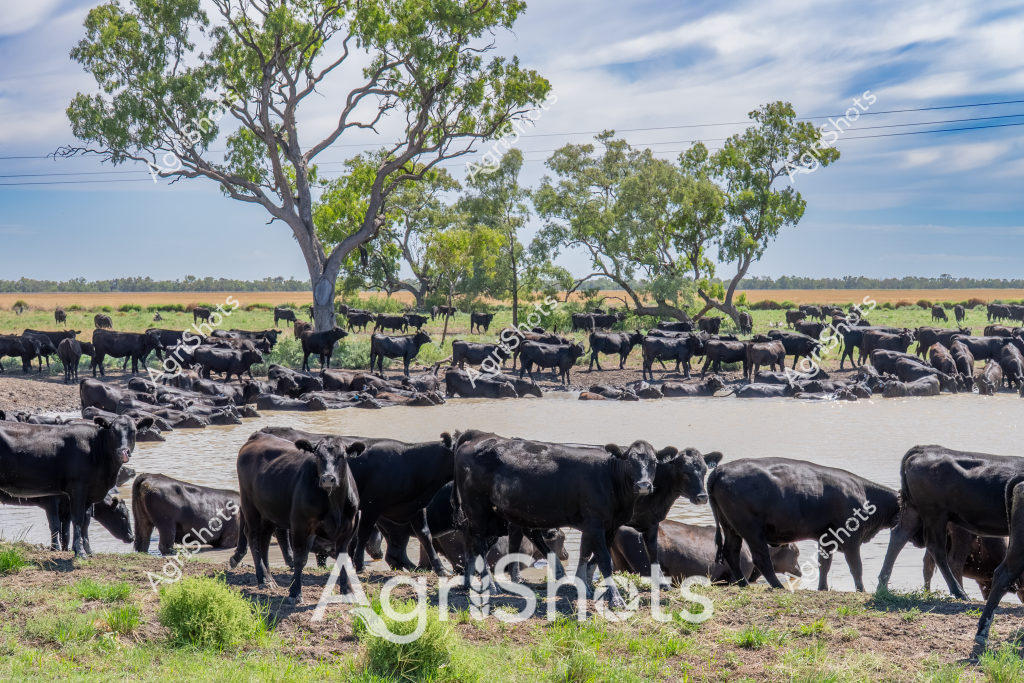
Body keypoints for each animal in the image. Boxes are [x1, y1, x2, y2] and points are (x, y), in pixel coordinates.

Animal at [0, 416, 150, 556]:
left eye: (133, 431)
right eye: (113, 431)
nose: (131, 537)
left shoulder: (85, 498)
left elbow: (80, 525)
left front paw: (85, 550)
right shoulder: (63, 494)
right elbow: (67, 522)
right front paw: (75, 551)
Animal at [236, 432, 363, 605]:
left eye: (342, 456)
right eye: (317, 455)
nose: (328, 479)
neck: (334, 504)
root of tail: (258, 435)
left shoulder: (348, 527)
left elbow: (342, 558)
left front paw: (348, 591)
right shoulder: (300, 525)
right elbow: (300, 558)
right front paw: (295, 593)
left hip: (269, 512)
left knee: (264, 540)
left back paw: (270, 578)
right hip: (250, 505)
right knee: (253, 536)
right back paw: (264, 580)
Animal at [453, 430, 667, 608]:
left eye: (654, 463)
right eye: (630, 462)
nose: (644, 485)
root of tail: (478, 436)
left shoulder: (608, 525)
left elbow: (588, 554)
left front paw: (585, 585)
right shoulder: (595, 523)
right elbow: (605, 560)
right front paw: (615, 598)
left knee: (473, 542)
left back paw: (468, 583)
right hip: (476, 508)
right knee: (479, 545)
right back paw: (490, 586)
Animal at [710, 458, 898, 591]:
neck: (865, 494)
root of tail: (720, 469)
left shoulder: (826, 538)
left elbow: (824, 564)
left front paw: (823, 588)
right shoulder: (851, 538)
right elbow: (856, 566)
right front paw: (861, 590)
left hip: (731, 528)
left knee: (731, 553)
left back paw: (744, 584)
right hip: (752, 530)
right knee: (761, 558)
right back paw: (778, 586)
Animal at [874, 445, 1024, 653]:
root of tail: (923, 449)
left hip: (915, 511)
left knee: (899, 536)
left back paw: (883, 584)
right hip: (935, 515)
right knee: (937, 549)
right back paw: (961, 593)